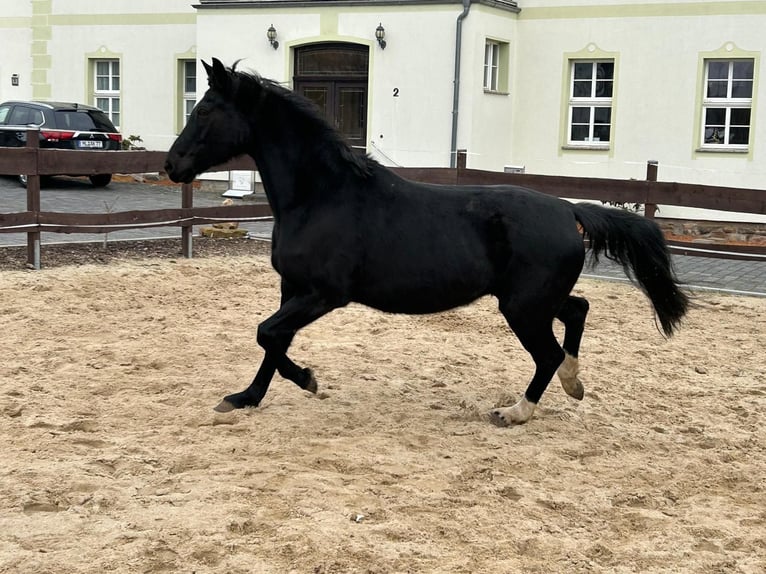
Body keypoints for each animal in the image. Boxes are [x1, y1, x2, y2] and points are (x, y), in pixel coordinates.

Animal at [164, 59, 688, 428]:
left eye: (205, 109)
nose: (172, 165)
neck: (321, 195)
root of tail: (568, 209)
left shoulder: (323, 294)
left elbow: (267, 334)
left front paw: (309, 381)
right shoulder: (291, 288)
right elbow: (273, 340)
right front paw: (243, 398)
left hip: (522, 308)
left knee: (549, 354)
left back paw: (515, 412)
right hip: (533, 300)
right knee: (577, 310)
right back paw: (574, 385)